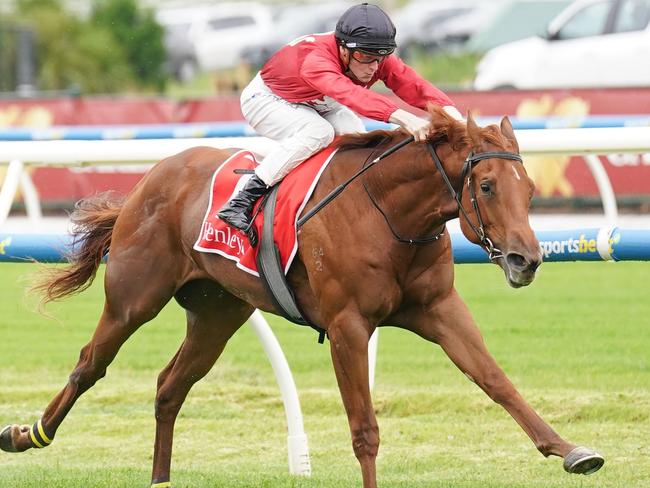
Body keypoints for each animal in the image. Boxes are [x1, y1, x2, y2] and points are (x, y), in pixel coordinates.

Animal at [0, 108, 600, 486]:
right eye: (487, 186)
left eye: (531, 190)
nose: (527, 259)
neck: (389, 212)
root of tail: (148, 181)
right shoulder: (347, 326)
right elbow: (364, 428)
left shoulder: (439, 310)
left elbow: (497, 381)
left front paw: (571, 450)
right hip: (133, 299)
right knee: (90, 364)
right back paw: (27, 434)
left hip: (218, 313)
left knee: (171, 386)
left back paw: (160, 478)